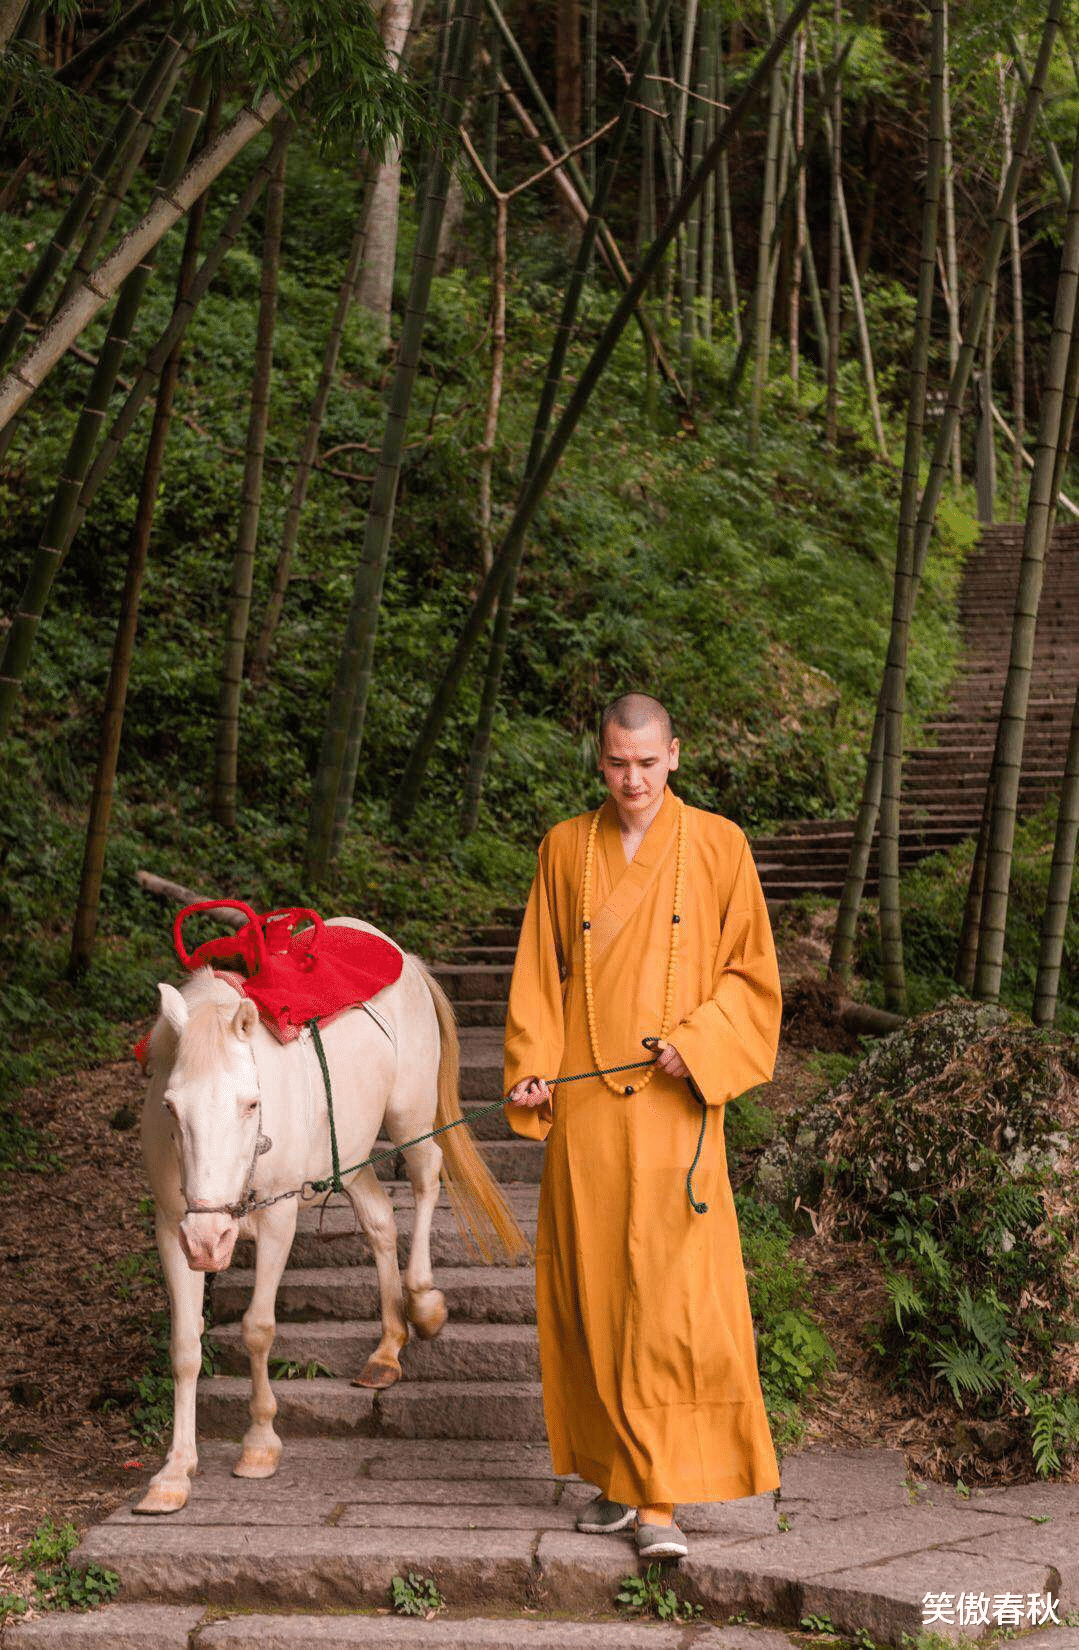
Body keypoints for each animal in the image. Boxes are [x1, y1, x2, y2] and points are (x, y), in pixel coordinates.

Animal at [137, 924, 527, 1511]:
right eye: (170, 1107)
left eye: (251, 1104)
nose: (210, 1241)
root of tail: (401, 953)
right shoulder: (174, 1226)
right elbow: (185, 1345)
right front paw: (174, 1471)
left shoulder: (277, 1220)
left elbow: (258, 1329)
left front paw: (260, 1443)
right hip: (352, 1156)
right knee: (380, 1219)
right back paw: (387, 1348)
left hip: (410, 1116)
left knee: (427, 1177)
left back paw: (424, 1301)